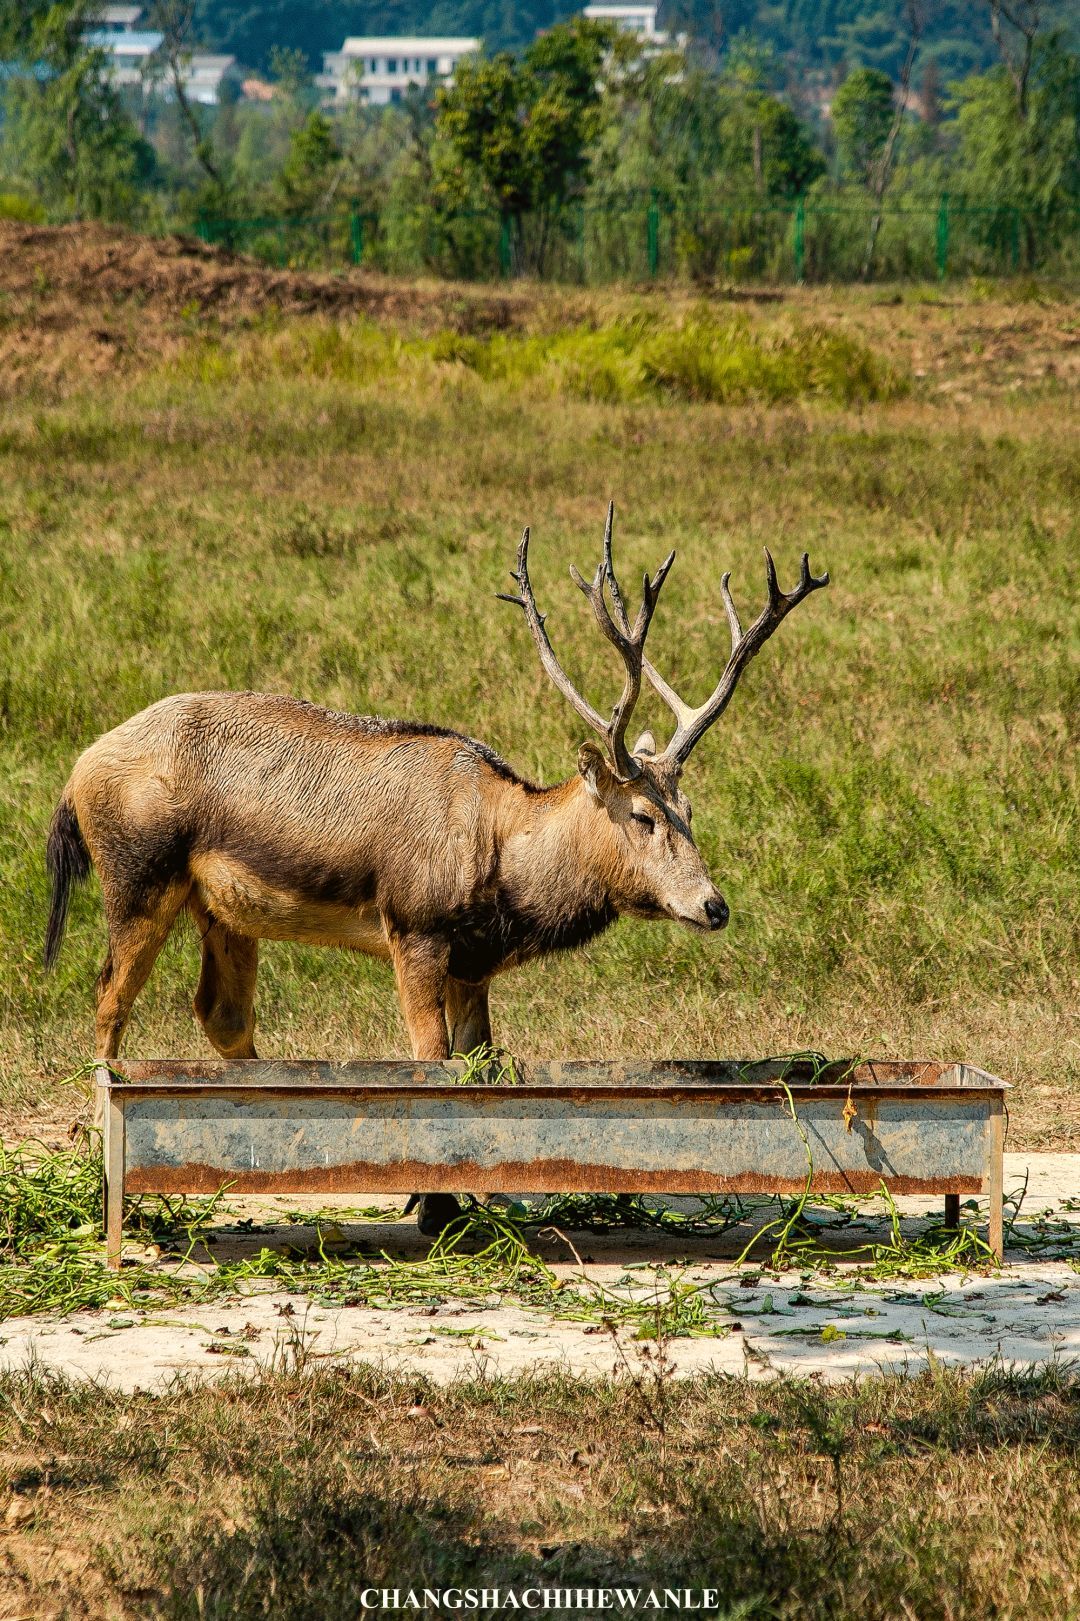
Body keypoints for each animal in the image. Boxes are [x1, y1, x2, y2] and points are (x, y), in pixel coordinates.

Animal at [42, 505, 823, 1225]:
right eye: (643, 815)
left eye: (690, 807)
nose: (713, 905)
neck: (503, 867)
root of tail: (75, 776)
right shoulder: (414, 926)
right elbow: (432, 1056)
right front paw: (434, 1202)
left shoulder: (472, 963)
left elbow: (481, 1062)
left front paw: (477, 1194)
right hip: (138, 875)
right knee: (110, 999)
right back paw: (100, 1160)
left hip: (222, 908)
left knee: (222, 1014)